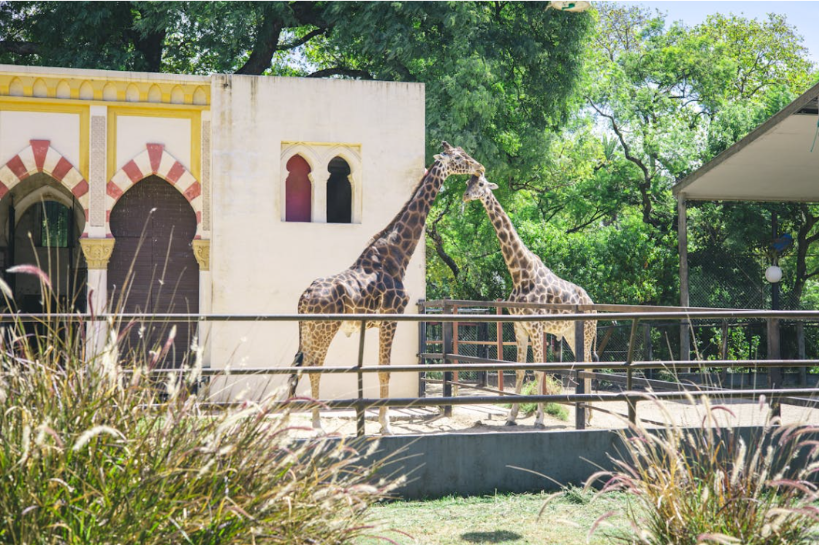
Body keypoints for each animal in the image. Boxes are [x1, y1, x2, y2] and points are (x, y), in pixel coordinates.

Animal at [291, 142, 484, 434]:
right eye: (460, 158)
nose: (480, 167)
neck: (397, 254)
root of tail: (304, 297)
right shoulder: (391, 316)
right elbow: (385, 369)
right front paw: (385, 425)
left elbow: (375, 368)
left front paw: (381, 422)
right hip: (325, 328)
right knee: (314, 367)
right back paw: (317, 425)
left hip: (309, 329)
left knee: (296, 365)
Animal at [463, 173, 597, 428]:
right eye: (467, 183)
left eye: (481, 184)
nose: (466, 195)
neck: (520, 273)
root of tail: (594, 307)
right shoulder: (520, 327)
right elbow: (520, 371)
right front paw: (512, 417)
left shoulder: (535, 326)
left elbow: (538, 371)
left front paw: (539, 419)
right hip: (571, 334)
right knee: (585, 365)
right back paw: (585, 413)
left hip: (586, 333)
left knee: (590, 368)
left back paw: (588, 417)